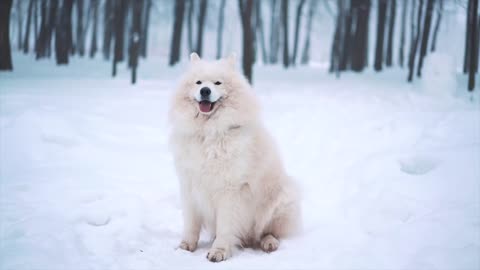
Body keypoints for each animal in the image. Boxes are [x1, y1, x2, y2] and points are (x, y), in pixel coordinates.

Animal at [169, 52, 300, 262]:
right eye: (198, 82)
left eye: (217, 82)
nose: (205, 91)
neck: (210, 133)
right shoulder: (190, 186)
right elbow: (191, 223)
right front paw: (186, 246)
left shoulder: (230, 191)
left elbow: (225, 227)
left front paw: (219, 251)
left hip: (281, 200)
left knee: (268, 231)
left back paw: (269, 242)